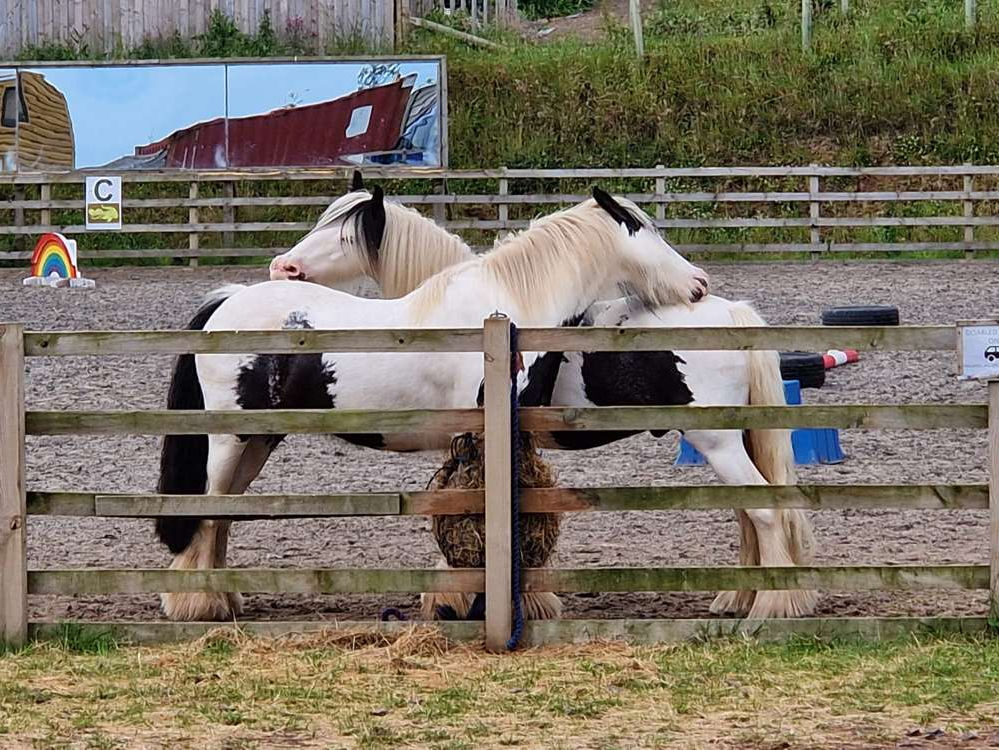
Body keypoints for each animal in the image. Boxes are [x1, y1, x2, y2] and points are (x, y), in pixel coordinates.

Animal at [155, 187, 710, 622]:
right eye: (647, 231)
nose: (699, 283)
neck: (502, 312)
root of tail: (226, 305)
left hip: (258, 440)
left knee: (224, 516)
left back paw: (224, 600)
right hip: (230, 439)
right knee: (208, 513)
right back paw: (198, 604)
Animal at [265, 179, 818, 621]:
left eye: (342, 235)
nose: (281, 266)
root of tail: (733, 313)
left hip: (716, 440)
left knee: (765, 513)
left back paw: (770, 605)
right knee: (750, 515)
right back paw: (739, 597)